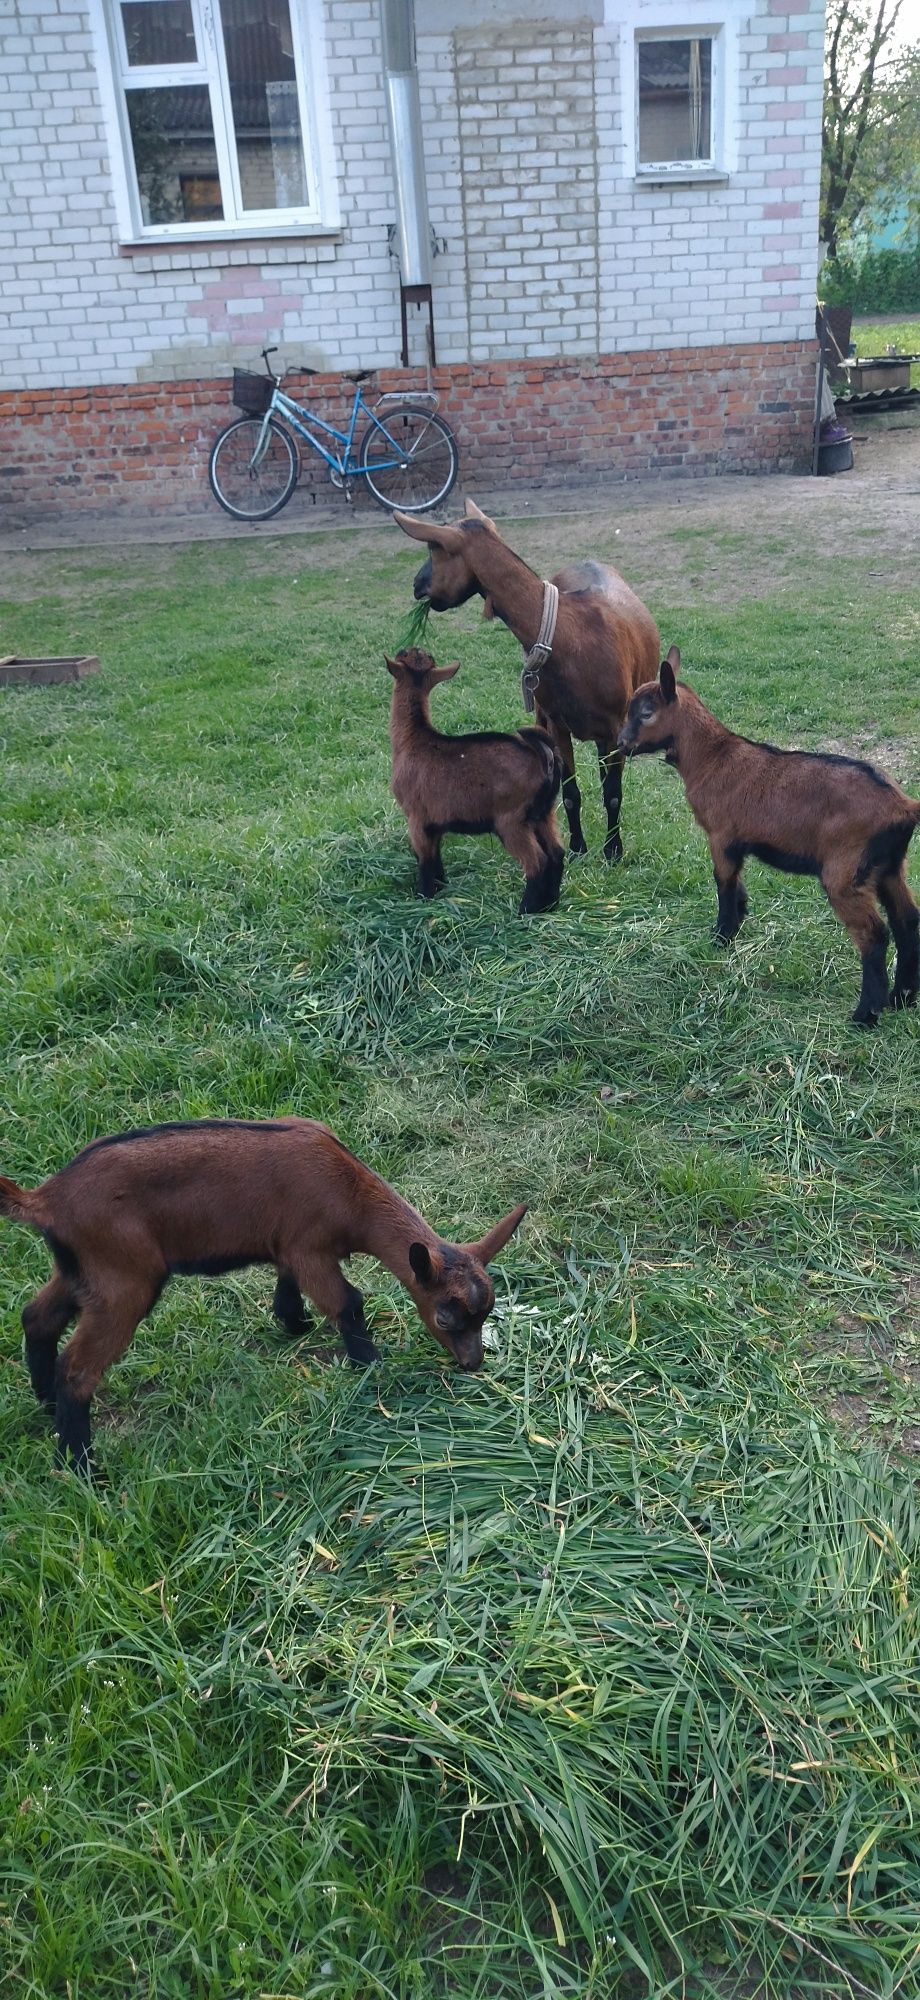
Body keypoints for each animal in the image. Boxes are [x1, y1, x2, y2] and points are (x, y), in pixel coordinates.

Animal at [392, 500, 656, 860]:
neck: (570, 638)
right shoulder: (557, 724)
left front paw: (613, 851)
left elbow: (613, 793)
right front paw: (577, 848)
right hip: (542, 713)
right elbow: (570, 792)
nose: (416, 584)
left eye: (434, 548)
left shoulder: (614, 729)